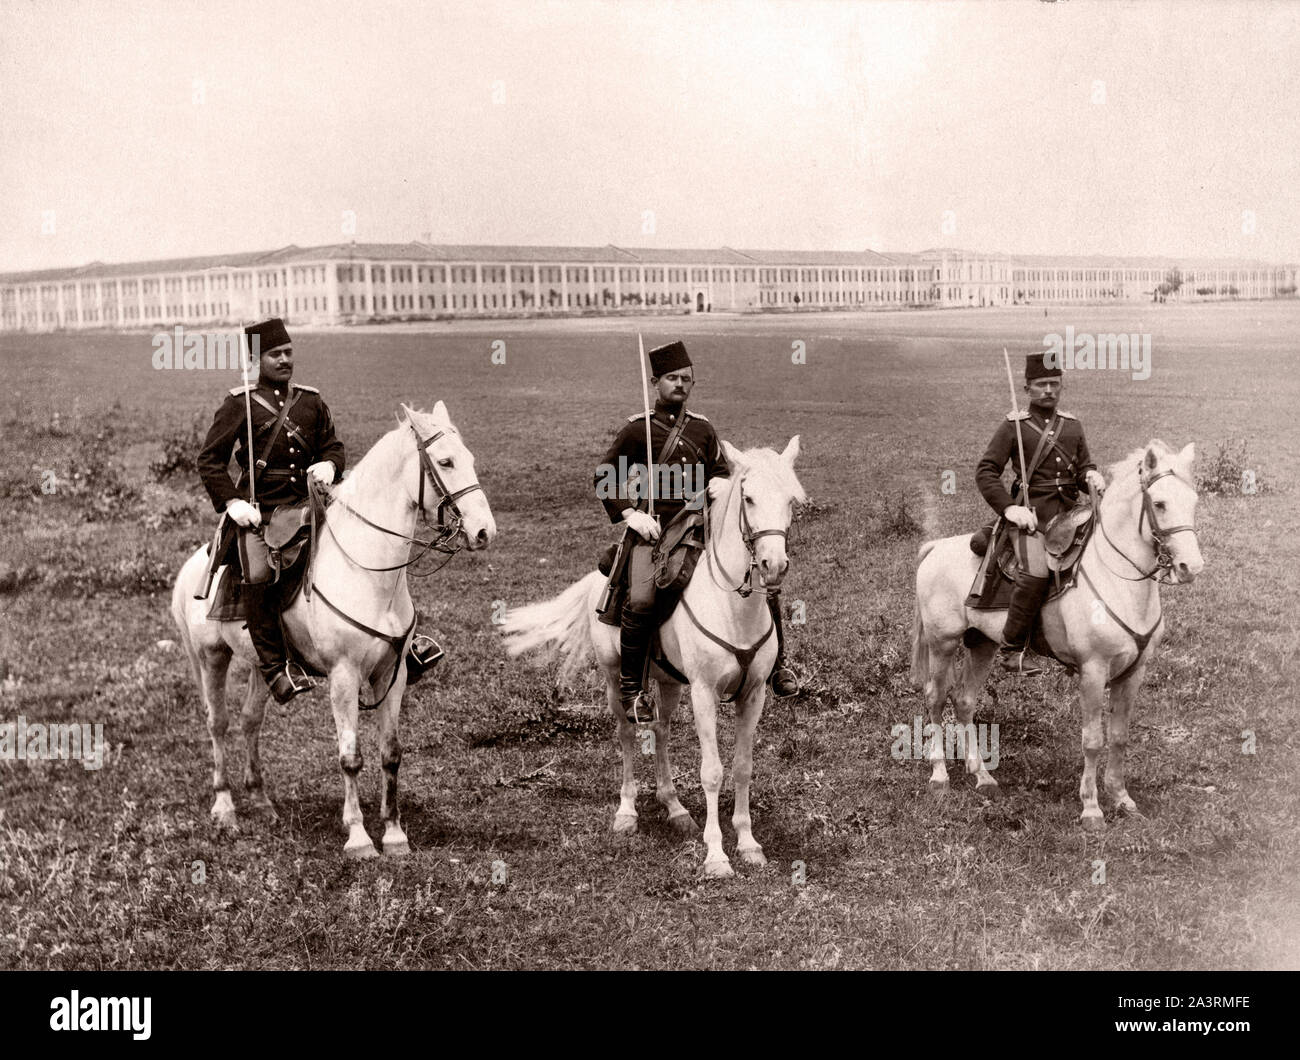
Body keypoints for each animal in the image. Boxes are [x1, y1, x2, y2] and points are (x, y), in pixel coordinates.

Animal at [171, 401, 496, 858]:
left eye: (470, 458)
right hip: (211, 657)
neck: (369, 571)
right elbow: (350, 756)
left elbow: (391, 753)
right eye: (446, 462)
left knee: (251, 720)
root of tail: (192, 567)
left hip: (261, 665)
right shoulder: (344, 676)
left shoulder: (392, 674)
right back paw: (225, 808)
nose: (485, 531)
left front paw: (394, 833)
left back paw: (262, 802)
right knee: (217, 723)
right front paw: (358, 837)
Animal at [501, 438, 804, 877]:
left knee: (660, 731)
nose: (774, 564)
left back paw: (674, 807)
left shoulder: (753, 695)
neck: (733, 607)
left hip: (668, 681)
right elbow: (712, 771)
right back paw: (626, 812)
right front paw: (716, 854)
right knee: (628, 733)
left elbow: (743, 767)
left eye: (791, 501)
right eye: (748, 498)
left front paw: (748, 843)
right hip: (616, 679)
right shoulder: (703, 692)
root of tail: (597, 579)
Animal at [911, 440, 1203, 828]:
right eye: (1159, 504)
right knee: (935, 698)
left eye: (1194, 501)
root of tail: (938, 547)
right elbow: (1093, 740)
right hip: (942, 643)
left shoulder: (1133, 672)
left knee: (964, 701)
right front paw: (1091, 808)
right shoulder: (1093, 670)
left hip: (982, 644)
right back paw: (940, 775)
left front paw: (1121, 797)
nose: (1191, 567)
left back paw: (982, 775)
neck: (1120, 580)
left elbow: (1120, 736)